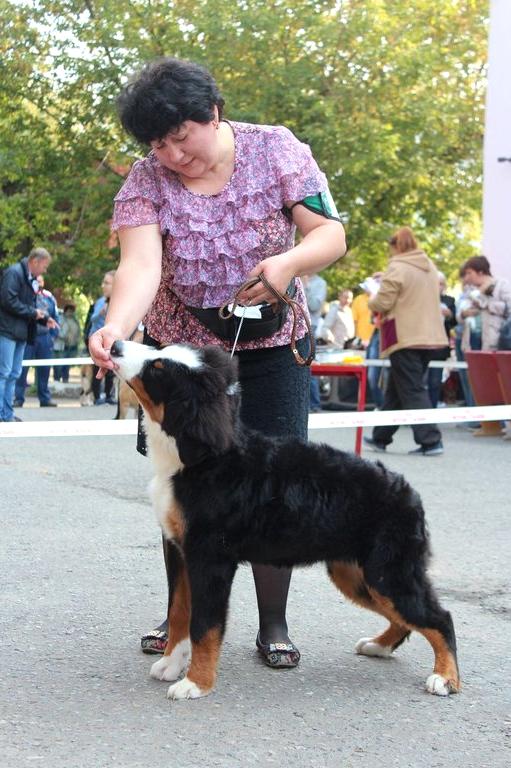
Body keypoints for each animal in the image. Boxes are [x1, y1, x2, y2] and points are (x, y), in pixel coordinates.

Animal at [111, 342, 460, 704]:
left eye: (159, 368)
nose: (116, 345)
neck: (200, 459)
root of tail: (408, 493)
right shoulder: (182, 552)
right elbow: (180, 612)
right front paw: (171, 664)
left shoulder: (210, 558)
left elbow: (204, 625)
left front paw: (196, 682)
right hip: (357, 575)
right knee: (407, 619)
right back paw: (378, 646)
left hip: (388, 573)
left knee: (440, 618)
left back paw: (445, 677)